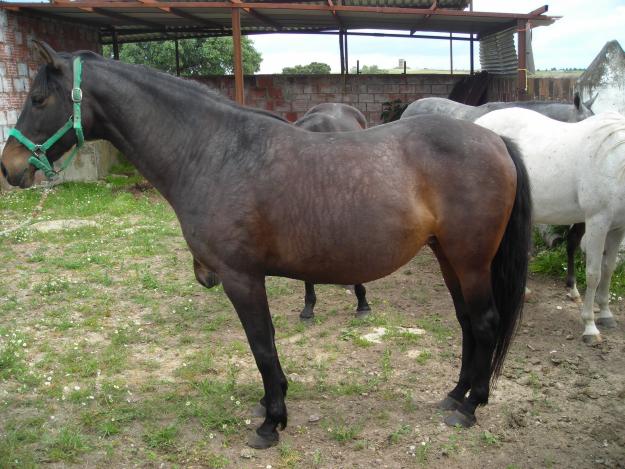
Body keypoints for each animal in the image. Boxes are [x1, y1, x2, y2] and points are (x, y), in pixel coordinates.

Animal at [1, 44, 532, 450]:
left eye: (39, 98)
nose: (10, 167)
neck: (214, 152)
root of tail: (496, 140)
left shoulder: (241, 277)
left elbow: (260, 344)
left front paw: (271, 421)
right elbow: (267, 343)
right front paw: (272, 402)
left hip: (470, 260)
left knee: (485, 322)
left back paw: (471, 406)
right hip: (448, 257)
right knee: (467, 323)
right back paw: (456, 394)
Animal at [472, 109, 624, 344]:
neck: (613, 161)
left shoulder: (617, 228)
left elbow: (608, 269)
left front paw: (606, 313)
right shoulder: (597, 222)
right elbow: (593, 274)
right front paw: (590, 326)